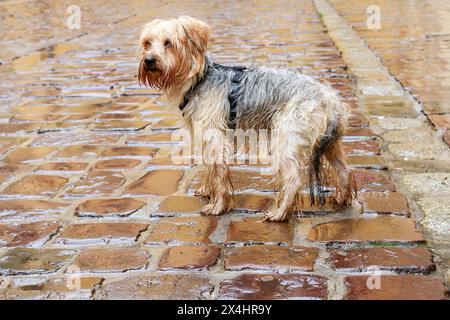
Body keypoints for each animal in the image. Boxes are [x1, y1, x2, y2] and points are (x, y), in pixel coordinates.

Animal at [137, 15, 356, 220]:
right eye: (147, 43)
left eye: (168, 43)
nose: (149, 60)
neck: (198, 80)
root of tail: (329, 100)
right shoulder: (204, 135)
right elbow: (208, 167)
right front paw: (207, 191)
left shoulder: (214, 137)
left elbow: (218, 173)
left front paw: (218, 206)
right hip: (330, 144)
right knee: (344, 170)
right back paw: (342, 199)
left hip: (287, 141)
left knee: (293, 180)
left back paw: (280, 213)